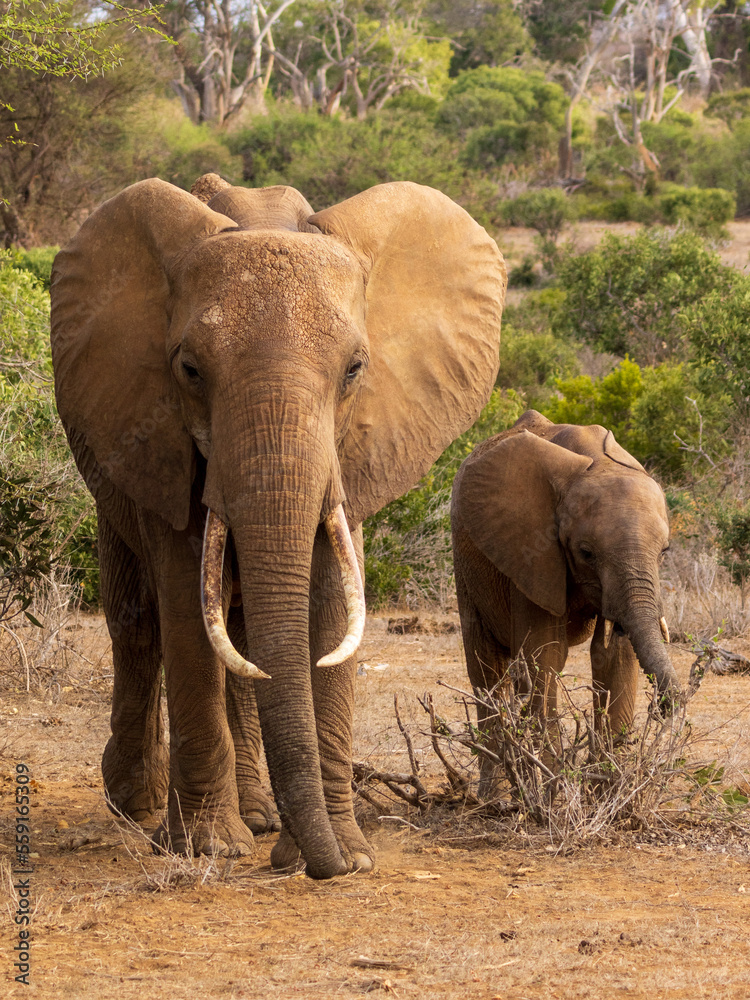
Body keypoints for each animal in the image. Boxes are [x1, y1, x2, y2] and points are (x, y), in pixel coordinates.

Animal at [50, 173, 506, 878]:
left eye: (355, 369)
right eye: (188, 370)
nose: (324, 867)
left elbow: (330, 600)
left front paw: (349, 855)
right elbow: (184, 605)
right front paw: (208, 849)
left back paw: (259, 816)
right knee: (138, 624)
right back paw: (139, 806)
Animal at [451, 410, 680, 796]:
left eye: (664, 552)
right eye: (586, 553)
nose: (666, 705)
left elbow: (612, 656)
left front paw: (609, 792)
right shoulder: (531, 552)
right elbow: (546, 657)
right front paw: (556, 795)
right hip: (463, 559)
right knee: (487, 669)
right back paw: (497, 798)